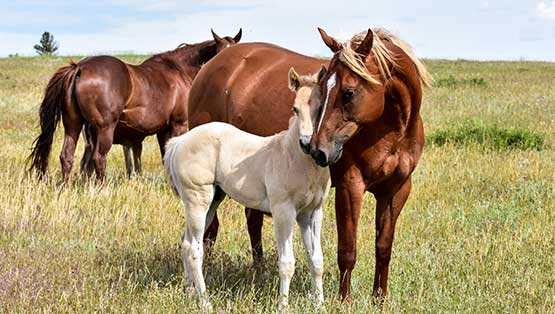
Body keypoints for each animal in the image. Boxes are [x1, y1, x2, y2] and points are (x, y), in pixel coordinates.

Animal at [27, 29, 241, 184]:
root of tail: (80, 67)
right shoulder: (177, 124)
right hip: (104, 128)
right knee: (98, 157)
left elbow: (165, 157)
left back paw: (65, 188)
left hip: (73, 125)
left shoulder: (162, 130)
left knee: (67, 156)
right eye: (220, 55)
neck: (178, 70)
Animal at [165, 68, 330, 310]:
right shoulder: (283, 211)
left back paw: (189, 292)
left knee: (186, 243)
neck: (296, 158)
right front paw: (283, 306)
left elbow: (316, 259)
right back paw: (205, 302)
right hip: (197, 200)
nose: (307, 144)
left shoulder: (312, 213)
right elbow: (287, 262)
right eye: (295, 108)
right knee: (195, 248)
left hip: (212, 201)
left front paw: (320, 304)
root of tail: (179, 142)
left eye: (320, 109)